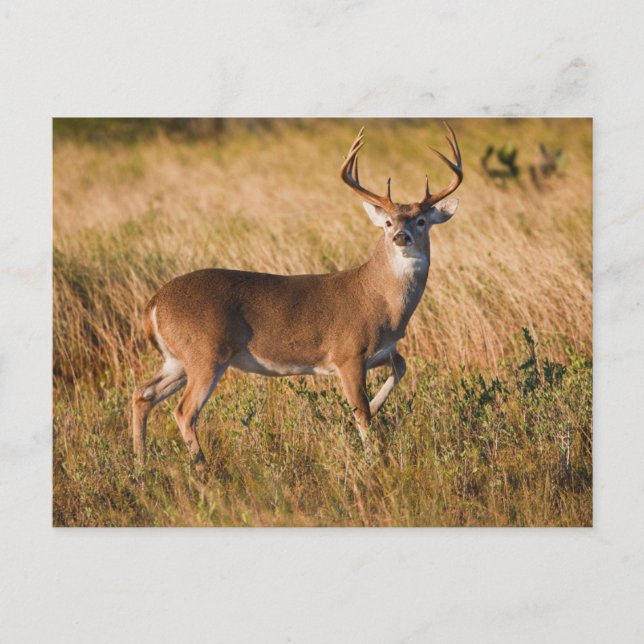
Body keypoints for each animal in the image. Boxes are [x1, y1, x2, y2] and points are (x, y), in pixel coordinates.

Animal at [132, 122, 463, 468]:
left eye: (421, 220)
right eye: (387, 222)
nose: (401, 236)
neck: (381, 301)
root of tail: (153, 305)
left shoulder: (383, 352)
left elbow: (400, 368)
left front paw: (376, 406)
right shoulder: (347, 354)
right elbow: (361, 413)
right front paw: (373, 462)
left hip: (176, 359)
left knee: (143, 395)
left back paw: (140, 464)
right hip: (205, 354)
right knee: (184, 411)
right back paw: (202, 468)